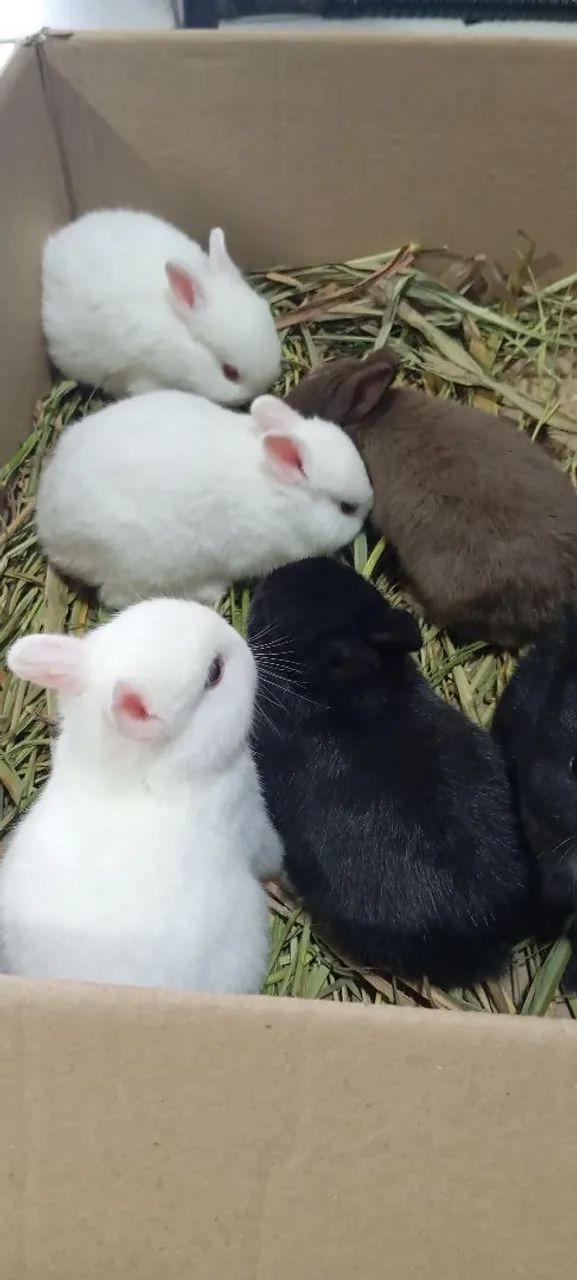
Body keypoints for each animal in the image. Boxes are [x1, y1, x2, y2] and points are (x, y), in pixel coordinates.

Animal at [36, 390, 373, 610]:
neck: (282, 495)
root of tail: (49, 532)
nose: (369, 511)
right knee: (117, 597)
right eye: (347, 508)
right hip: (147, 565)